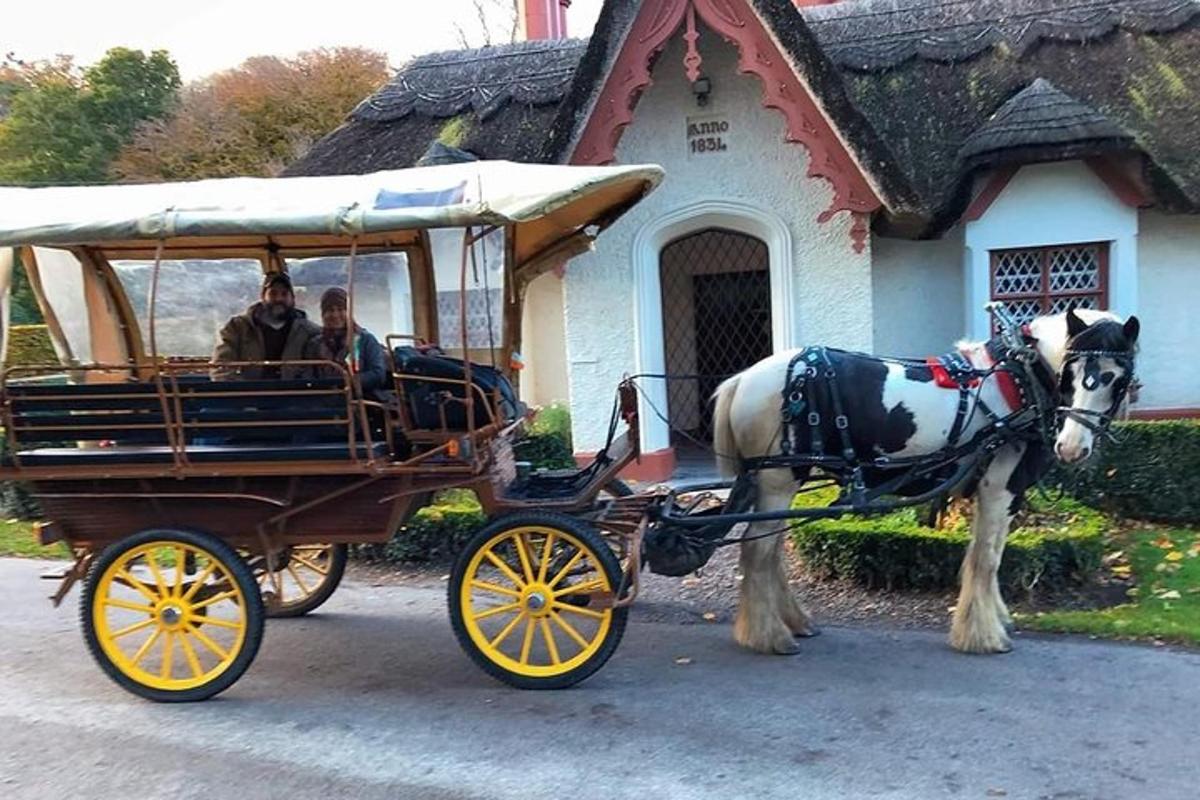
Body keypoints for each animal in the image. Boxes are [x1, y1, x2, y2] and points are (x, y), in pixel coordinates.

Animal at [715, 309, 1137, 657]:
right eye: (1071, 375)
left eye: (1117, 381)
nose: (1072, 447)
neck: (1020, 379)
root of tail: (743, 379)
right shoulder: (998, 487)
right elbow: (986, 559)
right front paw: (983, 636)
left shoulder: (1008, 493)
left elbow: (992, 555)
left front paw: (997, 618)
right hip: (778, 481)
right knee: (758, 552)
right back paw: (769, 635)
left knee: (771, 554)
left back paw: (793, 622)